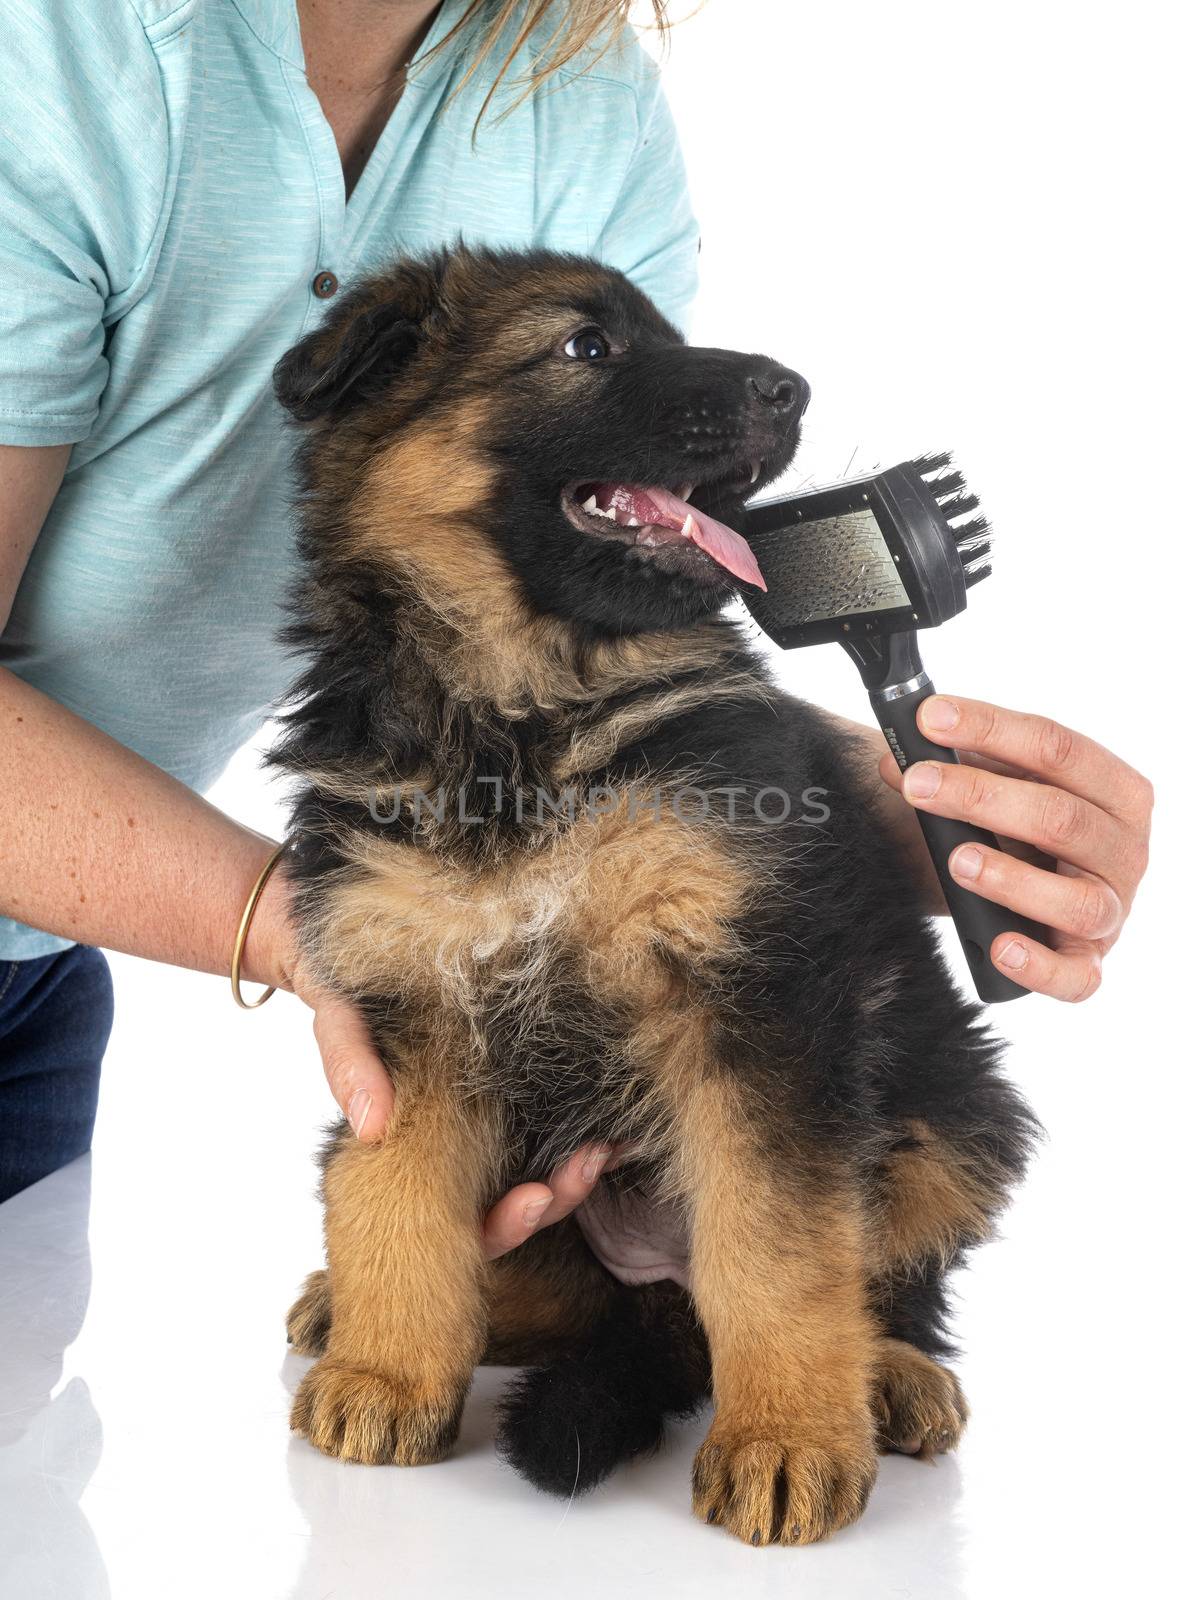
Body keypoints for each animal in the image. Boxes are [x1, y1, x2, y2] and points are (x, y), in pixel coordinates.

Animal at [270, 243, 1030, 1542]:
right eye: (587, 346)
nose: (791, 387)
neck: (521, 720)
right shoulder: (406, 1006)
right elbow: (396, 1194)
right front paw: (387, 1371)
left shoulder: (752, 997)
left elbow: (778, 1238)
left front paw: (785, 1439)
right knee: (518, 1282)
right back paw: (344, 1307)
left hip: (955, 1096)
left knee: (884, 1275)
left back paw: (890, 1375)